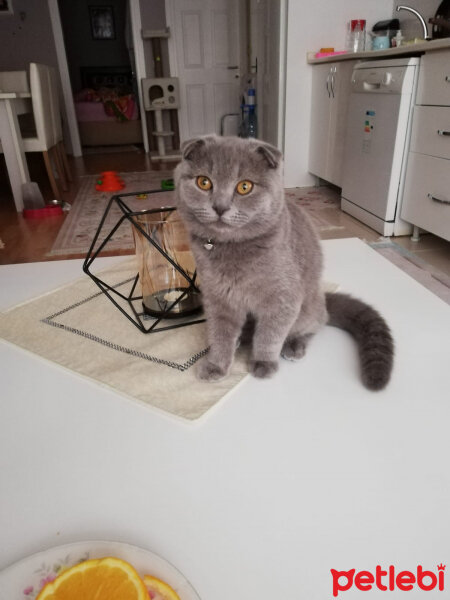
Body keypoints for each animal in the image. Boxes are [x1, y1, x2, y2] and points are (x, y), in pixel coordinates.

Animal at [176, 135, 394, 390]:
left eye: (244, 187)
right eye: (203, 182)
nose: (220, 207)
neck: (231, 249)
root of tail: (323, 297)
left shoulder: (282, 298)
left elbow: (270, 334)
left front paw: (263, 364)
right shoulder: (217, 297)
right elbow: (220, 334)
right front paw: (216, 366)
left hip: (308, 308)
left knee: (317, 323)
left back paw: (294, 346)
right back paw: (240, 340)